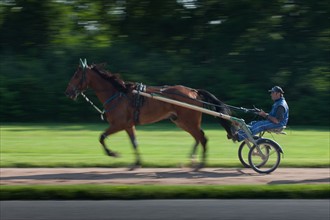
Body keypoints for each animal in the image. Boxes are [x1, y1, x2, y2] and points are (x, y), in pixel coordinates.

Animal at [65, 58, 235, 170]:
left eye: (76, 75)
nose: (68, 92)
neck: (118, 94)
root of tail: (193, 92)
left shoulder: (118, 124)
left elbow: (101, 137)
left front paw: (113, 154)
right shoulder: (128, 125)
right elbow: (134, 143)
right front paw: (137, 163)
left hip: (188, 121)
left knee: (202, 138)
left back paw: (200, 164)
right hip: (181, 121)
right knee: (198, 138)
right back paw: (191, 160)